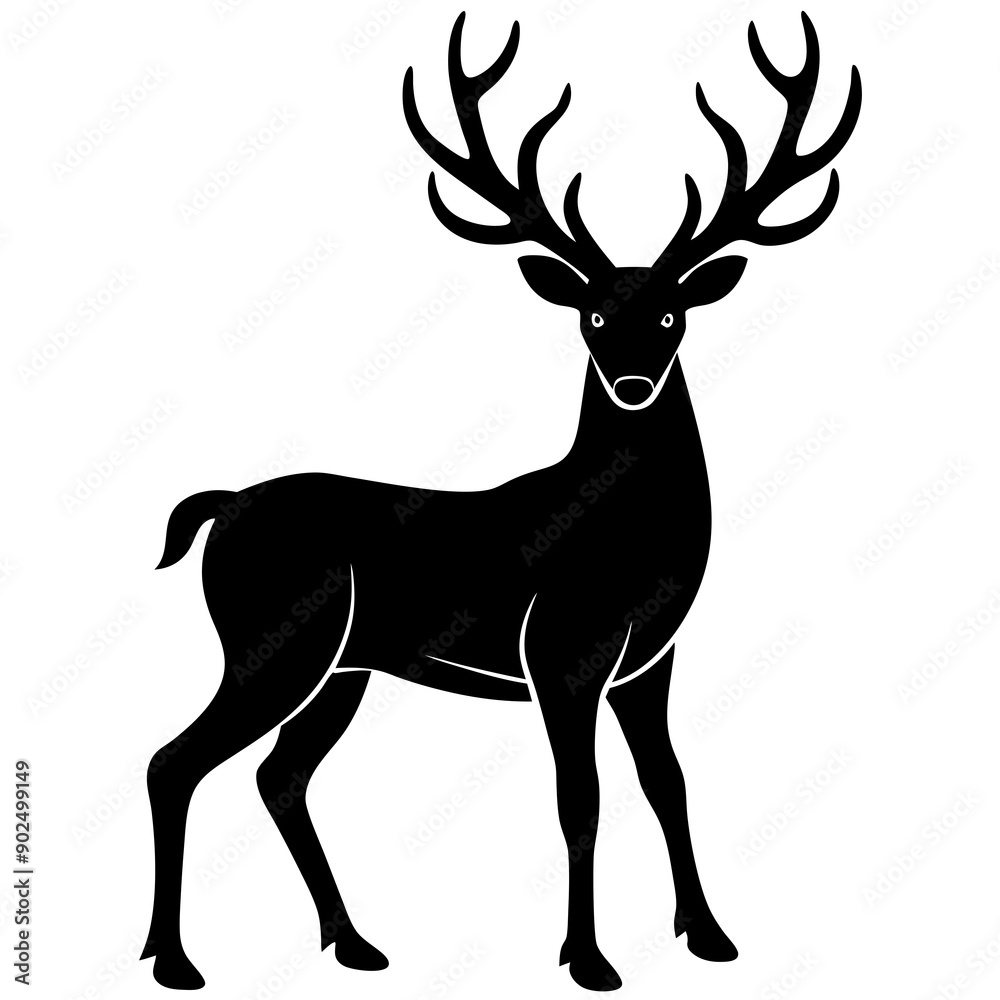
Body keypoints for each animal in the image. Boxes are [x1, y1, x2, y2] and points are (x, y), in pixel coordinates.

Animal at [140, 11, 860, 992]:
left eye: (671, 313)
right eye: (593, 315)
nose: (633, 383)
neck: (630, 541)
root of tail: (220, 508)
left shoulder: (652, 660)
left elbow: (668, 782)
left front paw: (710, 935)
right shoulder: (560, 649)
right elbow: (578, 800)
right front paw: (588, 959)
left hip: (343, 666)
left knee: (278, 776)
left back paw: (355, 943)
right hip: (271, 641)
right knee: (174, 762)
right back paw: (174, 960)